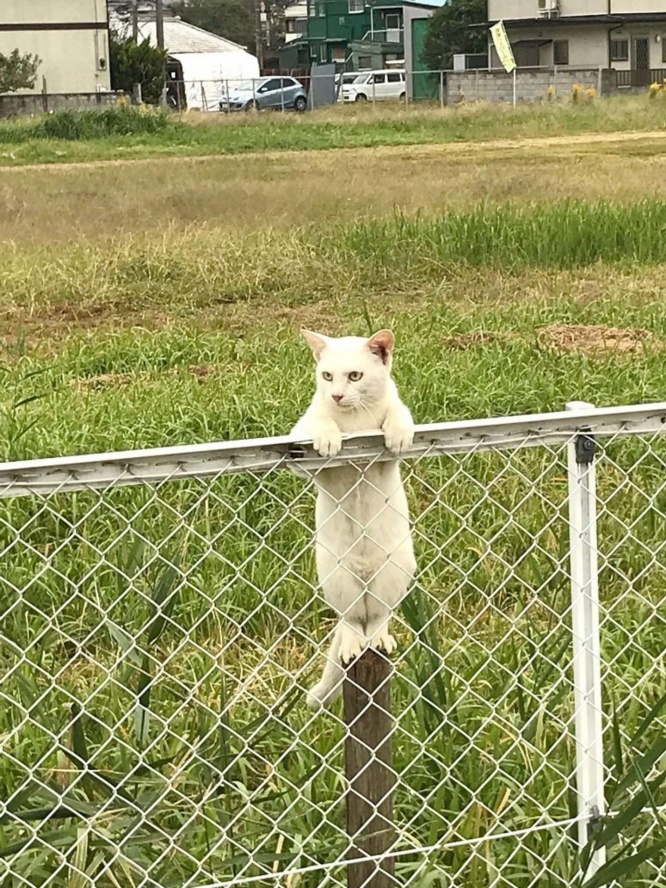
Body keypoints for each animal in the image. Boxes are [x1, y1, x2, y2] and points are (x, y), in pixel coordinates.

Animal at [290, 326, 416, 708]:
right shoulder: (298, 440)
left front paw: (397, 434)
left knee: (377, 617)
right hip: (336, 577)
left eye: (355, 376)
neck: (356, 420)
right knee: (349, 620)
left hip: (393, 572)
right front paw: (329, 437)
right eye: (327, 376)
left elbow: (398, 414)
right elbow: (319, 421)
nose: (336, 394)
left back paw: (378, 640)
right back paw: (352, 644)